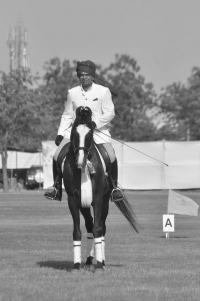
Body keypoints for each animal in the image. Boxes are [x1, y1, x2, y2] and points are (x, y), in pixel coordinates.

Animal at [61, 106, 138, 272]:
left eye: (90, 134)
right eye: (74, 133)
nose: (81, 161)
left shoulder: (97, 198)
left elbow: (98, 228)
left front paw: (100, 264)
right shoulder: (74, 200)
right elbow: (78, 231)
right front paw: (76, 265)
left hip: (105, 201)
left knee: (101, 227)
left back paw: (100, 259)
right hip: (85, 204)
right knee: (90, 226)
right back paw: (89, 260)